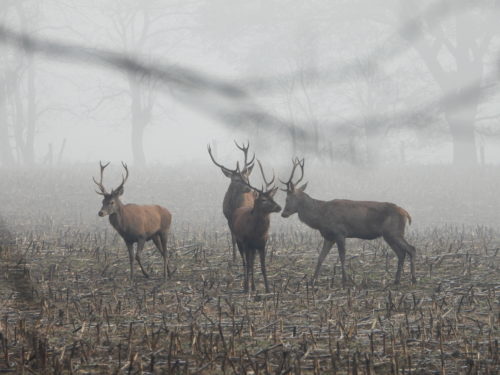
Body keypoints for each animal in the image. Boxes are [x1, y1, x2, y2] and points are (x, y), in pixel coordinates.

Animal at [231, 161, 280, 294]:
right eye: (263, 199)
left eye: (272, 198)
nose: (279, 207)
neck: (257, 232)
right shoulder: (246, 243)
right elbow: (248, 264)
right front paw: (246, 287)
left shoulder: (262, 244)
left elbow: (263, 267)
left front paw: (268, 289)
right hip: (239, 241)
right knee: (245, 262)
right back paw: (246, 286)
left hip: (252, 248)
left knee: (251, 262)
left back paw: (253, 286)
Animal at [280, 158, 416, 284]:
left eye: (287, 199)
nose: (283, 213)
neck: (320, 216)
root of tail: (406, 213)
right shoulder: (328, 236)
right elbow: (321, 257)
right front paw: (313, 280)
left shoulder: (340, 232)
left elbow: (342, 256)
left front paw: (345, 280)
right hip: (389, 235)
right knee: (401, 253)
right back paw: (396, 280)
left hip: (394, 231)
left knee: (411, 249)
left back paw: (413, 279)